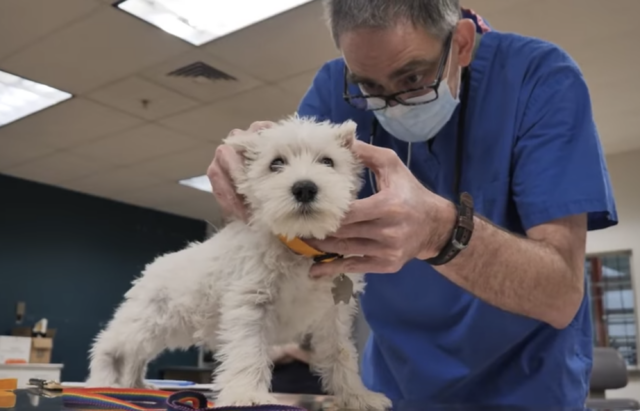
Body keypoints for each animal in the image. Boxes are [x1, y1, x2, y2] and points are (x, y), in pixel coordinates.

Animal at [86, 116, 390, 411]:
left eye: (328, 161)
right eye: (276, 163)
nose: (304, 188)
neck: (297, 249)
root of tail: (153, 267)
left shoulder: (332, 315)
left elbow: (342, 355)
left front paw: (357, 396)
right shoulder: (250, 305)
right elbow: (249, 350)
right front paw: (248, 395)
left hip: (164, 330)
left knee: (136, 356)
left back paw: (137, 385)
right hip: (147, 321)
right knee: (111, 343)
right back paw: (103, 381)